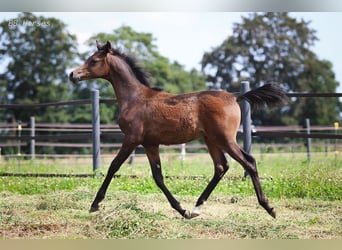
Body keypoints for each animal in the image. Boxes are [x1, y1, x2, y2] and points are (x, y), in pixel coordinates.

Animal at [69, 41, 286, 219]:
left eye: (94, 60)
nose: (72, 75)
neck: (135, 98)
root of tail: (235, 97)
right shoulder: (150, 143)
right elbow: (158, 176)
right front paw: (182, 209)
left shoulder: (132, 138)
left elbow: (114, 166)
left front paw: (95, 204)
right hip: (211, 140)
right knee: (221, 167)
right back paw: (196, 208)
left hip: (225, 139)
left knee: (249, 162)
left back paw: (269, 208)